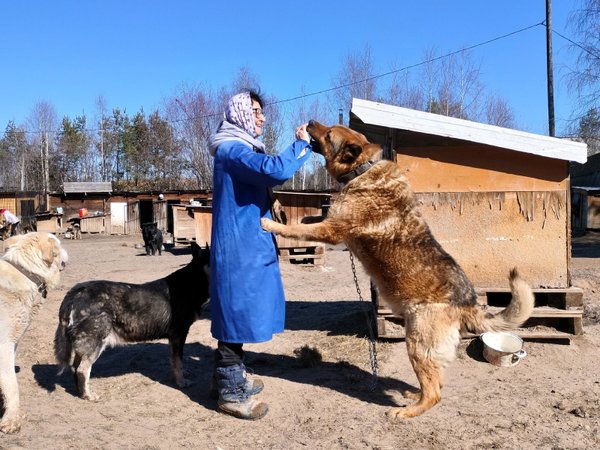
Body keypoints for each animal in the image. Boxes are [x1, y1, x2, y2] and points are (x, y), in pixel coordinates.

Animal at [54, 243, 212, 400]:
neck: (191, 282)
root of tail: (74, 293)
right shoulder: (178, 335)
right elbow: (178, 361)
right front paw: (181, 382)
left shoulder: (174, 339)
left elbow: (175, 360)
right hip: (96, 342)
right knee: (82, 369)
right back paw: (88, 395)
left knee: (75, 367)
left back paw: (80, 393)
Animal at [262, 119, 536, 418]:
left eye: (329, 133)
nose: (310, 122)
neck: (363, 169)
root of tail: (469, 302)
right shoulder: (329, 223)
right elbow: (307, 220)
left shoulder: (331, 230)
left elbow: (297, 228)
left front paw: (272, 224)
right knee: (436, 383)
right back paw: (413, 395)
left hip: (417, 343)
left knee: (434, 393)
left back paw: (406, 412)